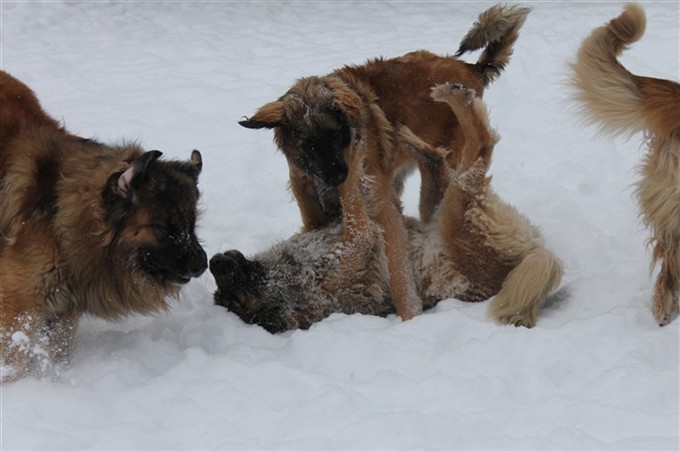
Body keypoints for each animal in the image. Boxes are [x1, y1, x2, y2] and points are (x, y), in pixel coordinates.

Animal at [214, 84, 564, 332]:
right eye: (233, 293)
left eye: (226, 284)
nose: (216, 261)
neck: (286, 283)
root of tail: (530, 254)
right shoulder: (356, 242)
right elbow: (353, 204)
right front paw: (352, 162)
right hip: (456, 213)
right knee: (480, 149)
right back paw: (456, 102)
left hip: (434, 209)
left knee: (440, 162)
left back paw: (417, 131)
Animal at [239, 3, 532, 322]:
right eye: (310, 145)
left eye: (337, 136)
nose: (340, 178)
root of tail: (470, 69)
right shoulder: (313, 208)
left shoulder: (383, 206)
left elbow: (398, 270)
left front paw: (409, 314)